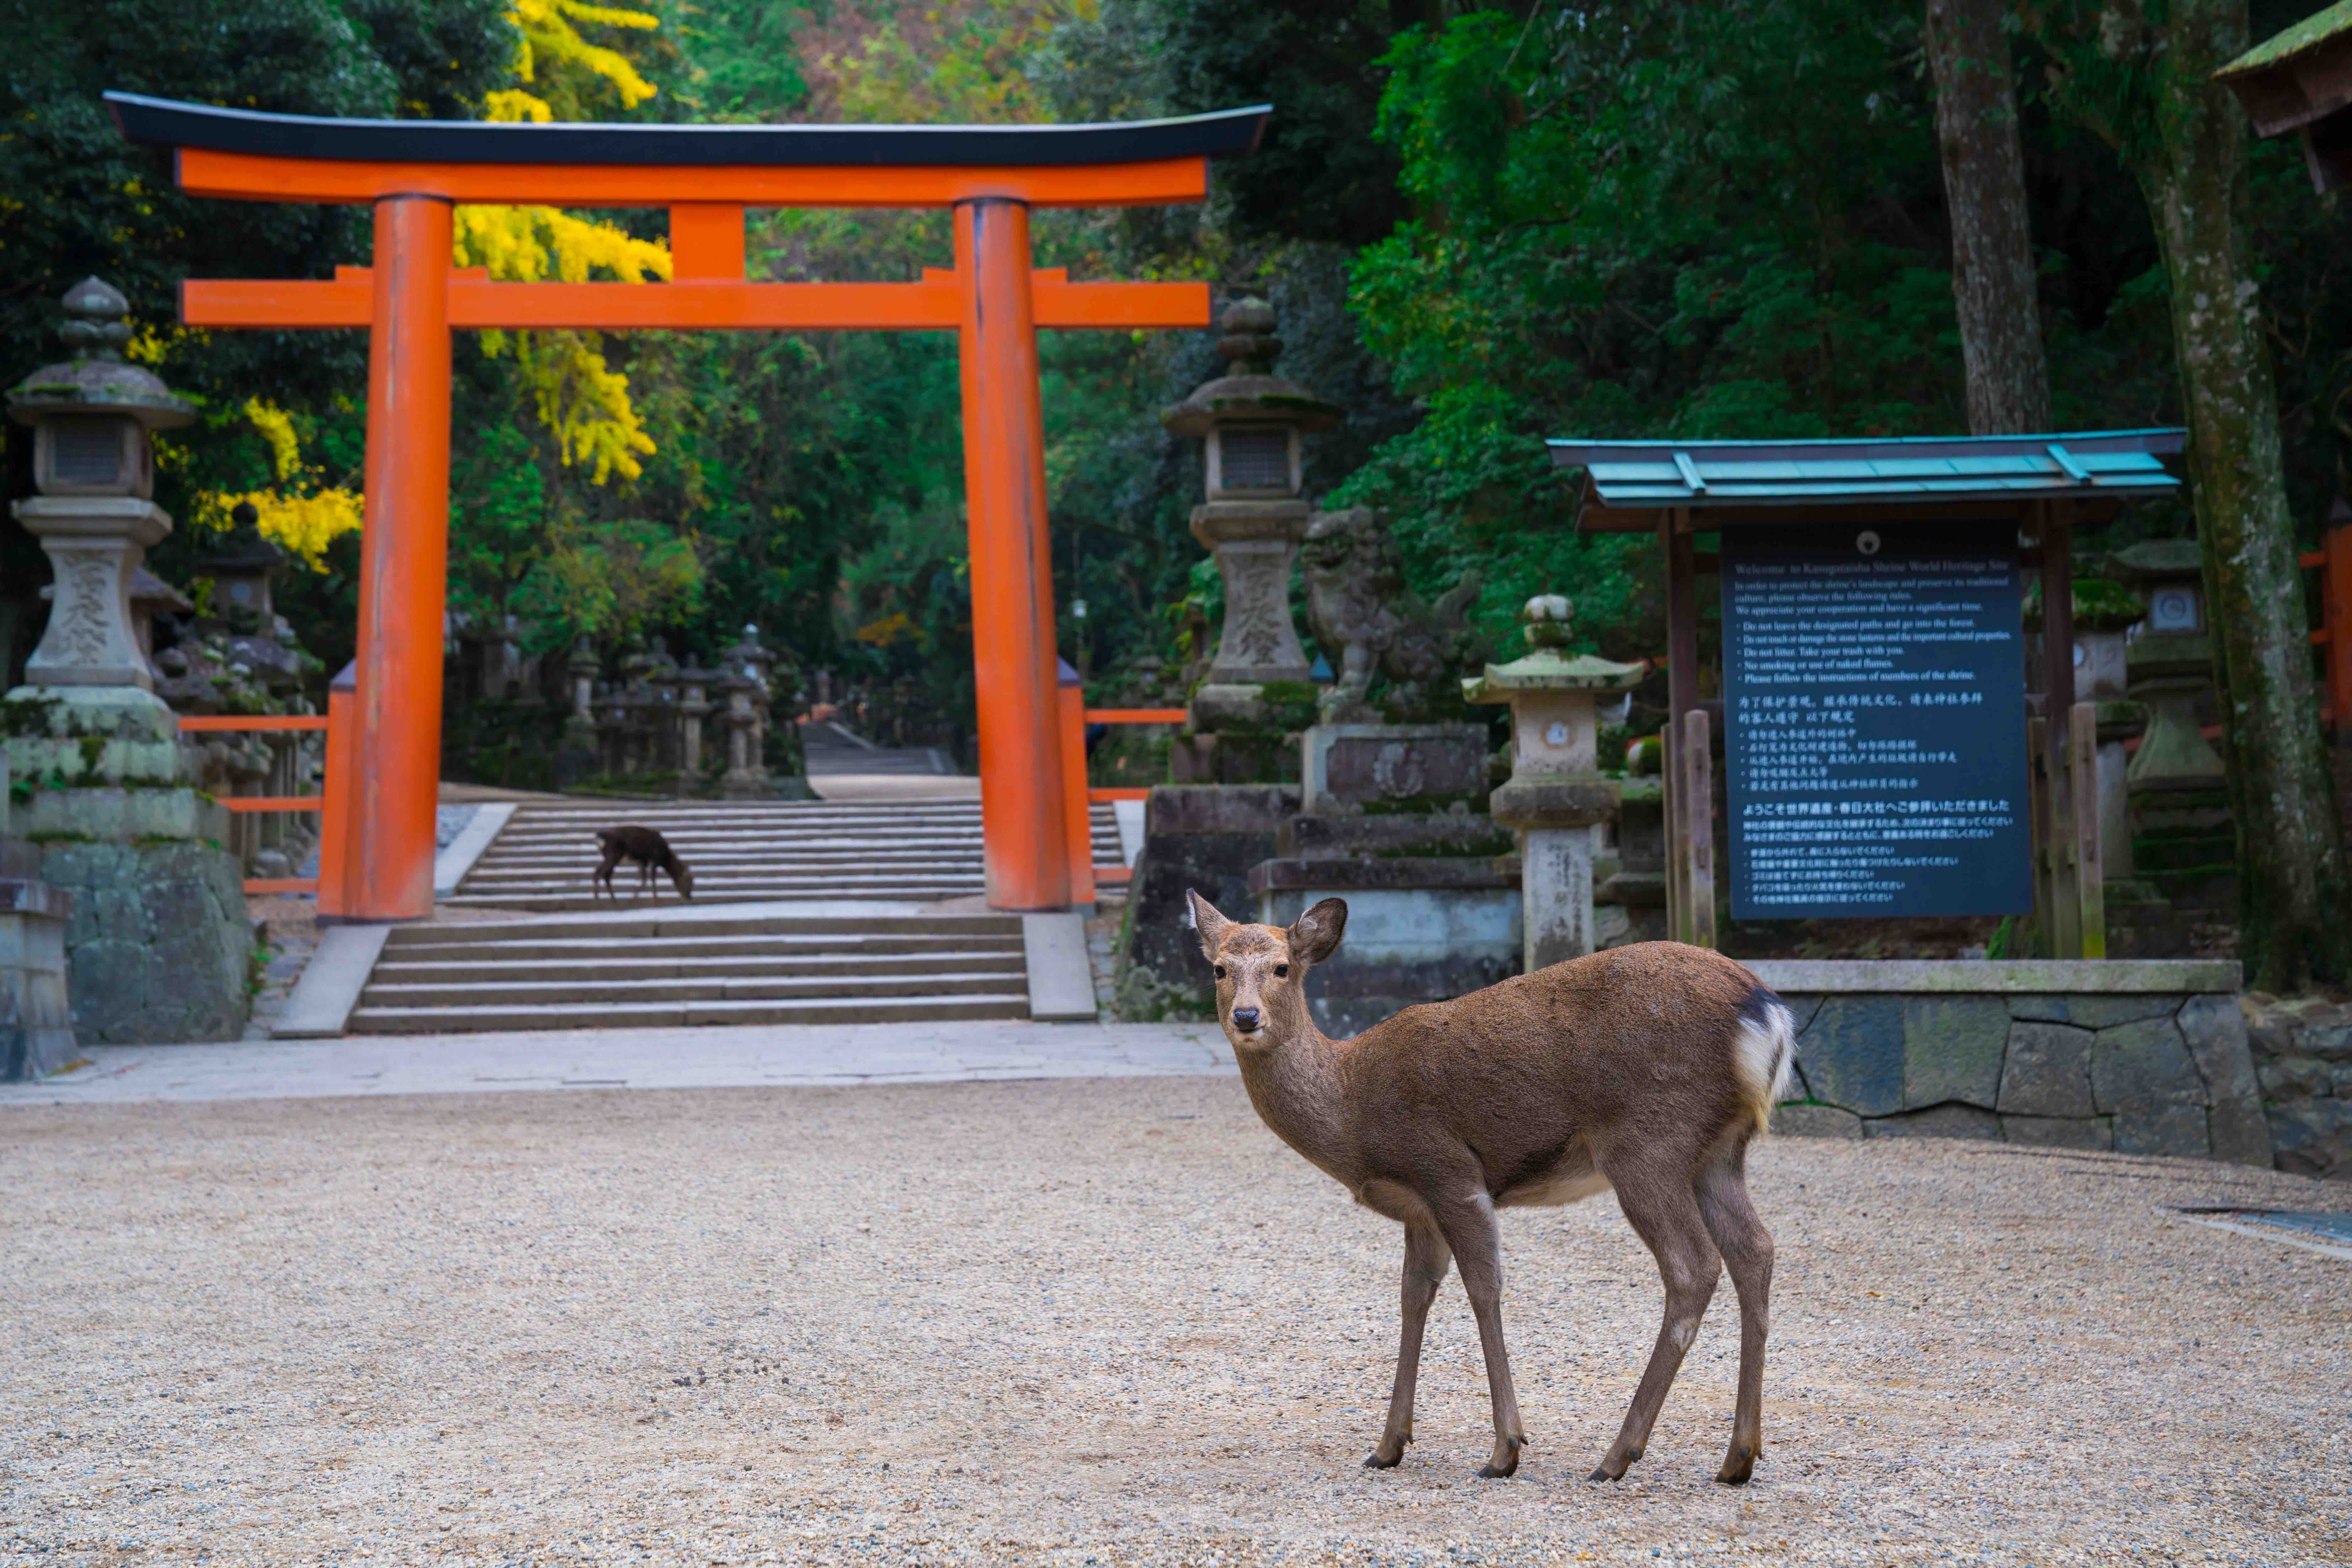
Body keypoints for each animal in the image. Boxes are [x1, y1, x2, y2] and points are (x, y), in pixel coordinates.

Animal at [593, 827, 691, 903]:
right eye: (689, 882)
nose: (690, 897)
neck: (665, 858)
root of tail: (599, 837)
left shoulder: (643, 861)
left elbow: (644, 880)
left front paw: (634, 896)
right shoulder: (654, 860)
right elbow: (652, 879)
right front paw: (655, 897)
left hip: (612, 857)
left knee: (606, 876)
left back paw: (613, 899)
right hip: (614, 855)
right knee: (599, 873)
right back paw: (597, 898)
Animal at [1185, 888, 1788, 1495]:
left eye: (1282, 967)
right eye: (1219, 969)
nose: (1246, 1016)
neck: (1352, 1106)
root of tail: (1764, 1012)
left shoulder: (1448, 1172)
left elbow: (1483, 1288)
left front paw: (1505, 1449)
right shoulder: (1420, 1209)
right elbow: (1413, 1296)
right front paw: (1388, 1446)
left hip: (1648, 1141)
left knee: (1693, 1266)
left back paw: (1618, 1455)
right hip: (1718, 1154)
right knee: (1755, 1248)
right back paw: (1738, 1456)